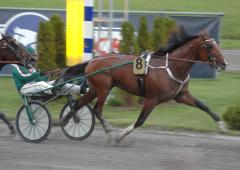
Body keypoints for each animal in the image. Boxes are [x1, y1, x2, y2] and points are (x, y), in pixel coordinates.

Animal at [61, 29, 228, 143]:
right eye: (209, 46)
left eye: (216, 44)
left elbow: (204, 106)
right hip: (103, 89)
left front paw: (222, 126)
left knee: (78, 104)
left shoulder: (181, 95)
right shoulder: (151, 98)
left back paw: (66, 121)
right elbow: (140, 120)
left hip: (96, 89)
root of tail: (92, 61)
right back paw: (108, 132)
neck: (172, 67)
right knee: (97, 110)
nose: (224, 64)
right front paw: (120, 136)